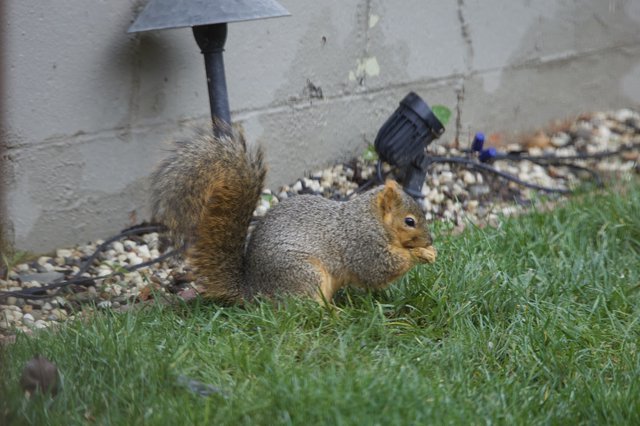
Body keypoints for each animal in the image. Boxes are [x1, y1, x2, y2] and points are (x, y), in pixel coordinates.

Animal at [151, 123, 437, 304]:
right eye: (409, 221)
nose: (431, 240)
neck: (372, 219)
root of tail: (253, 291)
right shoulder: (363, 244)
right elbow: (380, 269)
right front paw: (418, 254)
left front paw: (429, 251)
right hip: (304, 274)